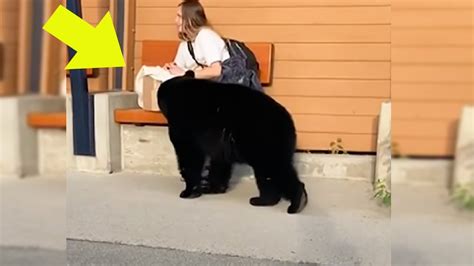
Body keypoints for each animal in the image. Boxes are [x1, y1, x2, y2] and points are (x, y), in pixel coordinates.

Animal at [159, 71, 308, 213]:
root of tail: (289, 121)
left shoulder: (184, 125)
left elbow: (189, 155)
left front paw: (188, 191)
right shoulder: (220, 140)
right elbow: (220, 161)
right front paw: (214, 188)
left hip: (263, 139)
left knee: (273, 168)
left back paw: (292, 201)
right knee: (270, 173)